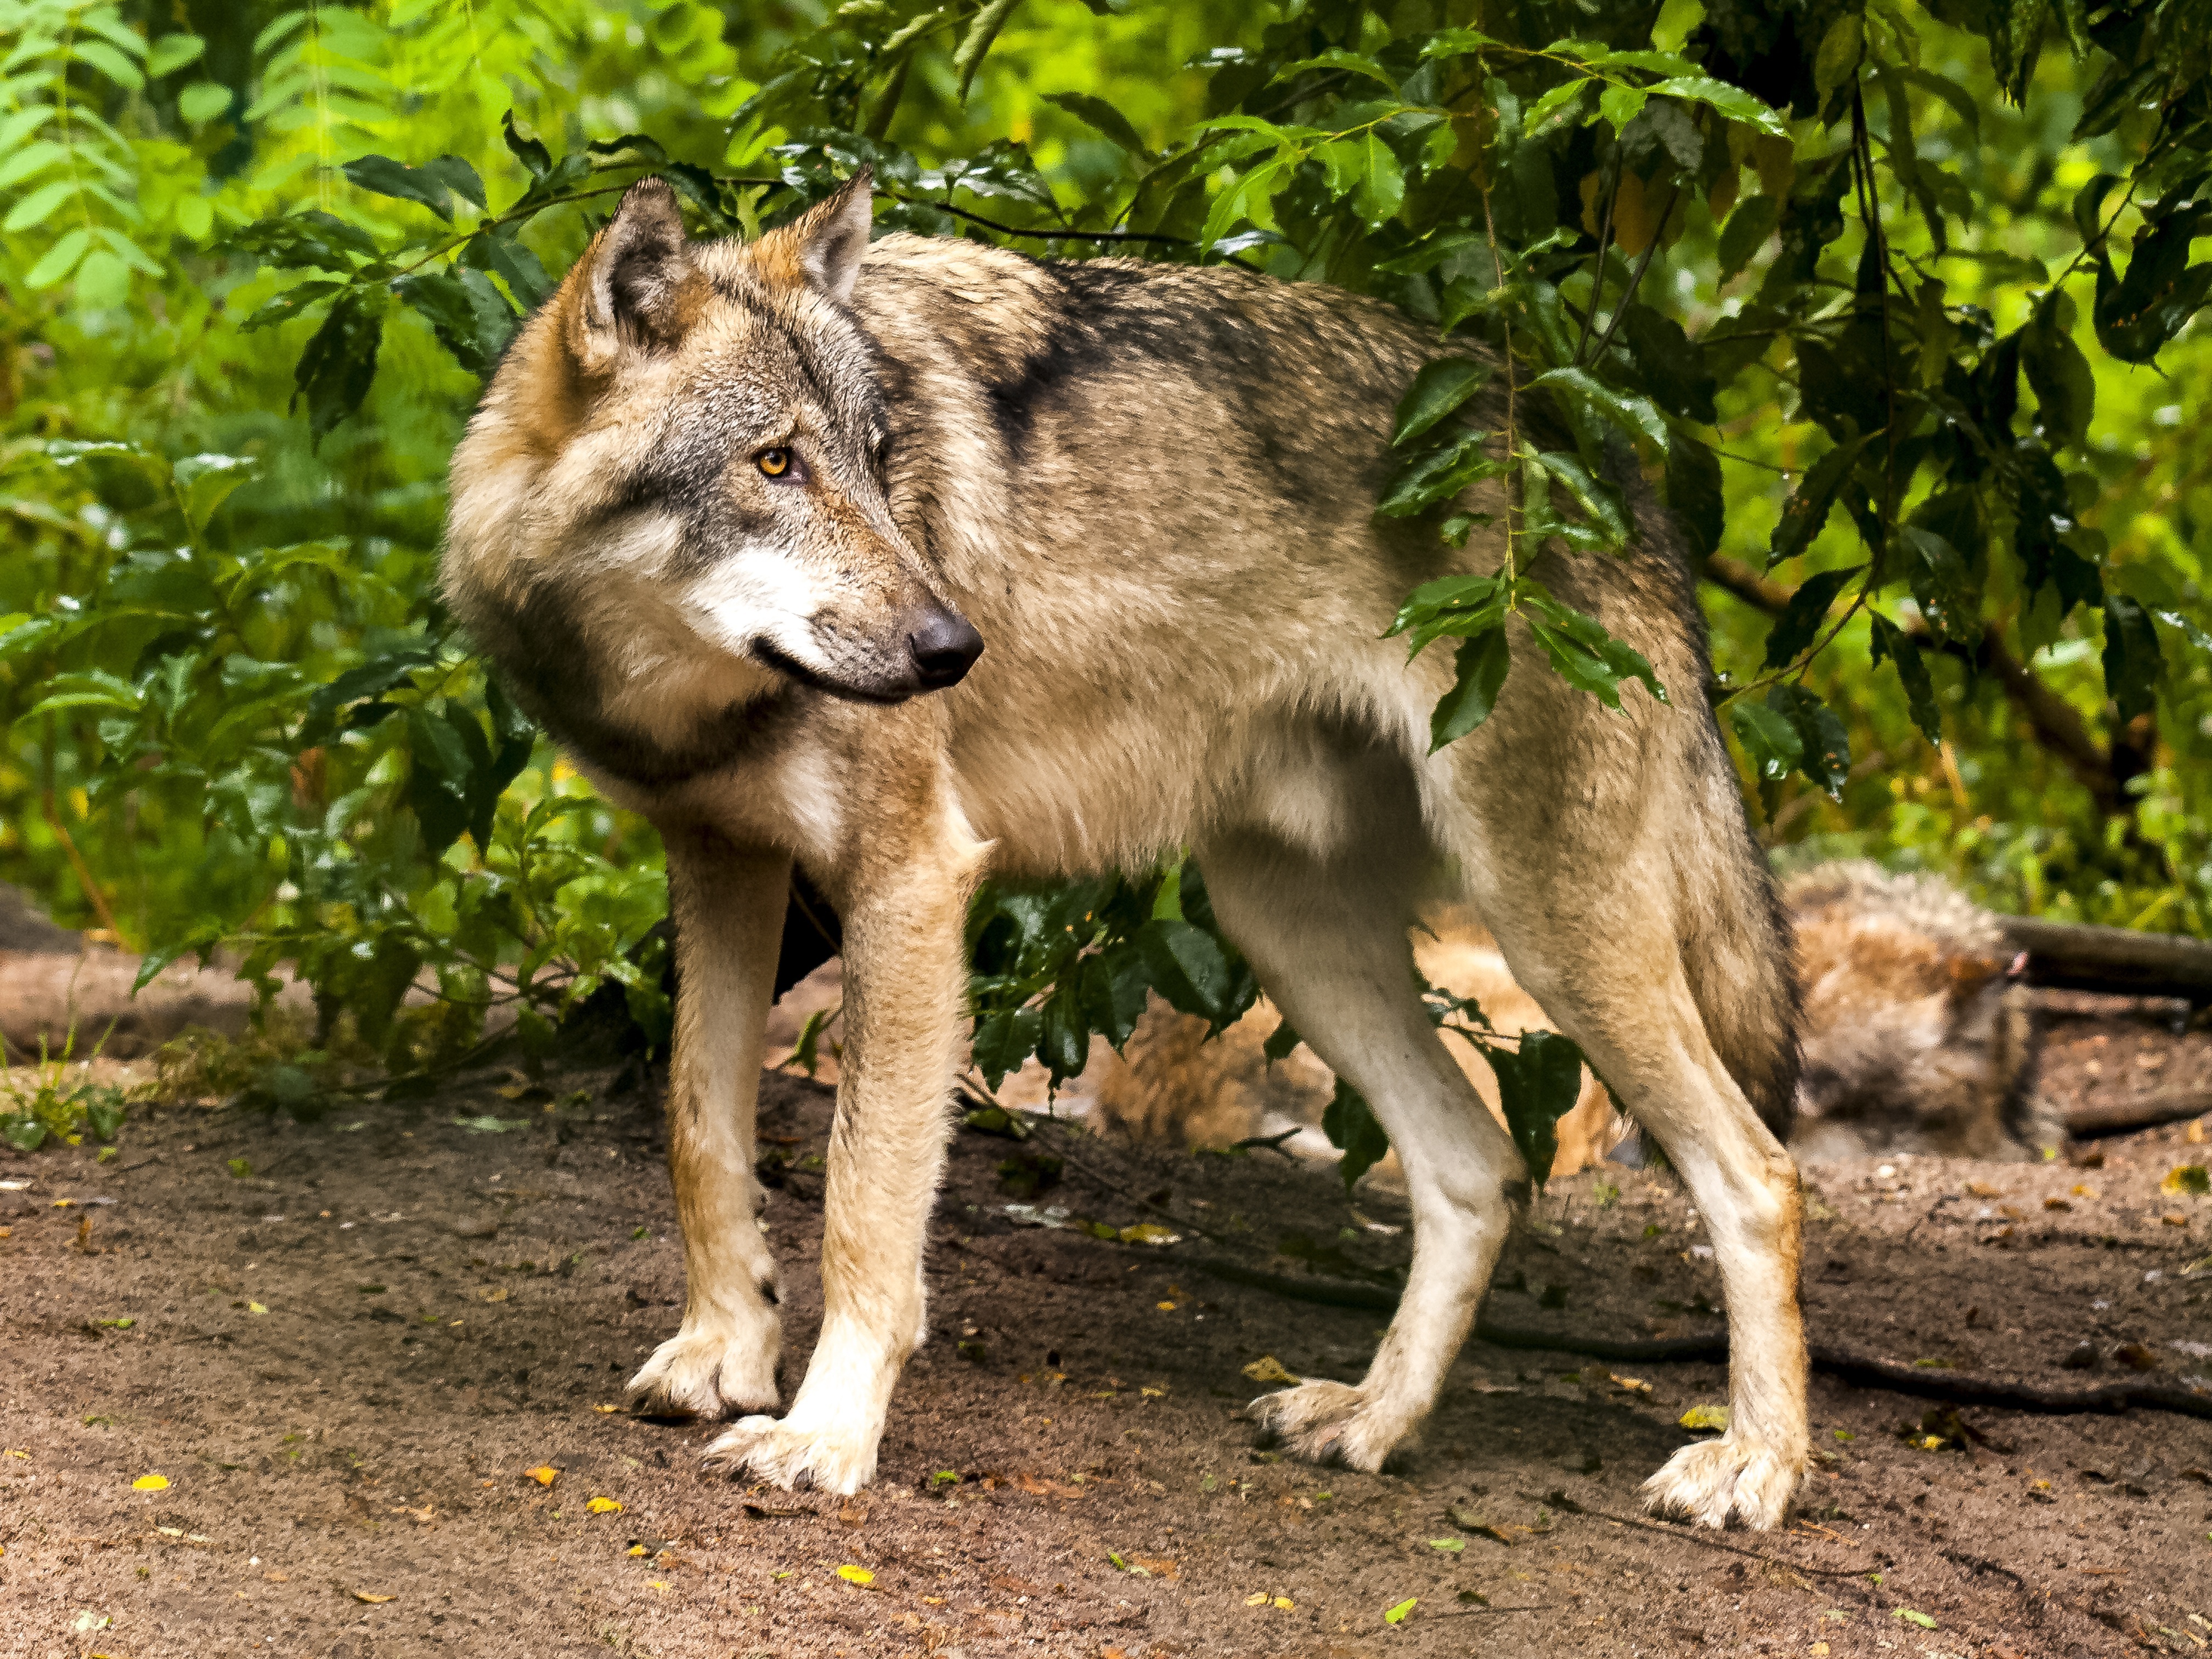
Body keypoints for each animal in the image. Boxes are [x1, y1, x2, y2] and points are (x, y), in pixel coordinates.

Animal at [443, 172, 1807, 1529]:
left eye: (884, 467)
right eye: (773, 463)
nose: (955, 648)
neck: (682, 704)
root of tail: (1608, 460)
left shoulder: (913, 882)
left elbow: (862, 1200)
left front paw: (823, 1435)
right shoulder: (720, 862)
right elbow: (700, 1128)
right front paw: (721, 1354)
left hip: (1549, 928)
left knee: (1760, 1175)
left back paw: (1756, 1466)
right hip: (1290, 934)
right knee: (1479, 1169)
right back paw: (1374, 1421)